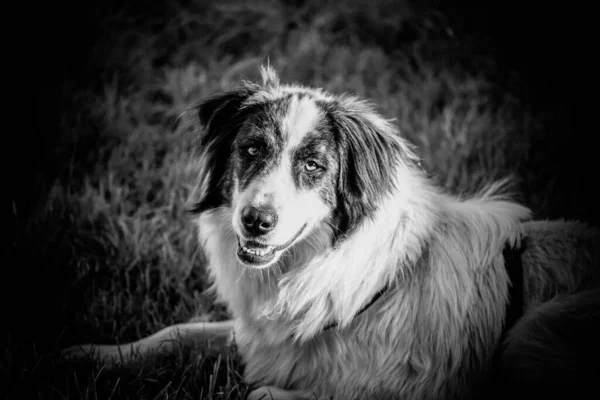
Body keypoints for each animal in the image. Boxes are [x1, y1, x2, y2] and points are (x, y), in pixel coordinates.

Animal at [63, 67, 600, 398]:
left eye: (313, 165)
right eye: (252, 150)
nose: (255, 222)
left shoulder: (408, 388)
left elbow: (260, 393)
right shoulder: (266, 335)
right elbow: (177, 330)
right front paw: (89, 355)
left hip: (529, 333)